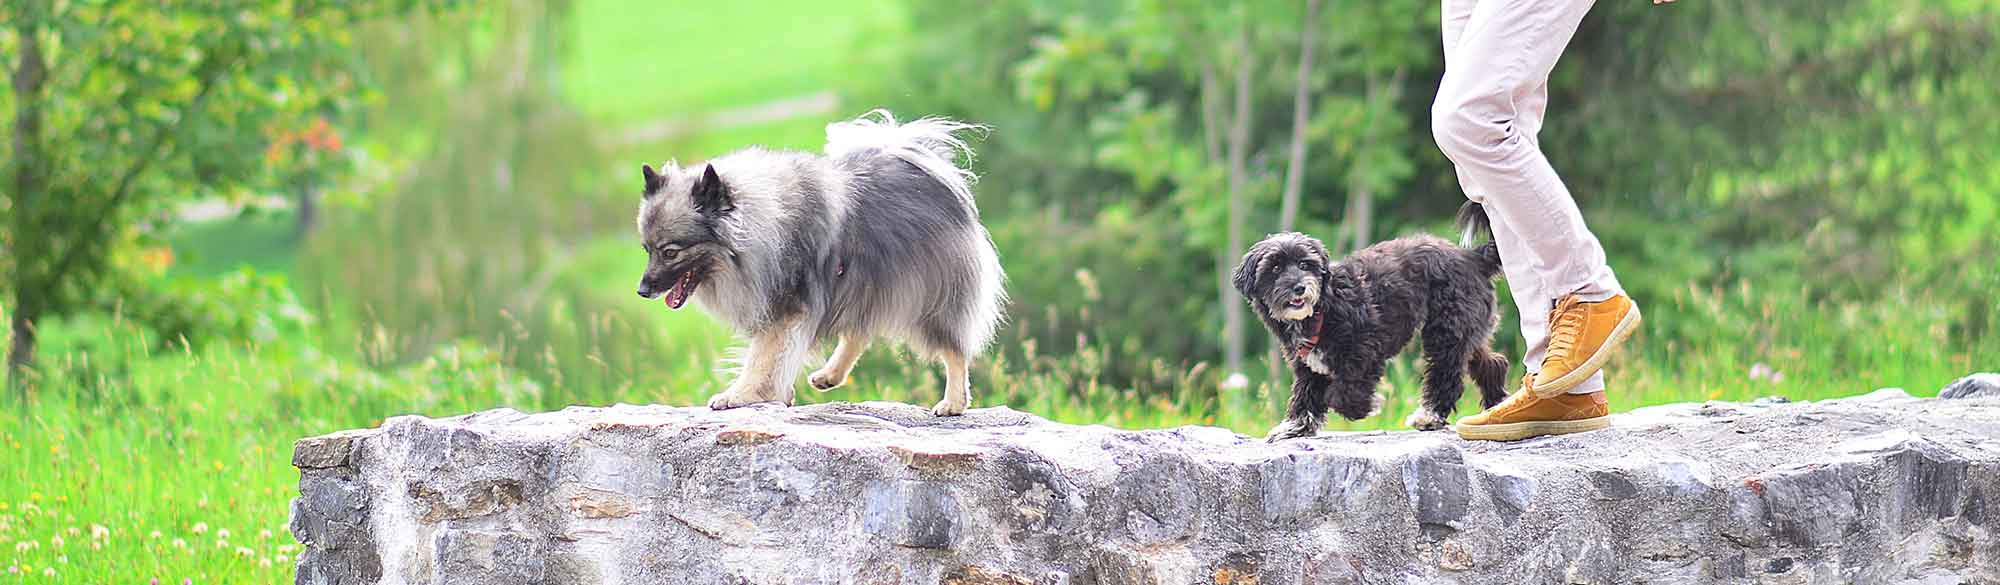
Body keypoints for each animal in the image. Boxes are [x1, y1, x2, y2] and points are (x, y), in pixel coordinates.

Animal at [636, 109, 1008, 416]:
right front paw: (778, 395)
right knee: (859, 332)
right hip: (865, 283)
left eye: (670, 252)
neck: (761, 223)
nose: (642, 290)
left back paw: (954, 402)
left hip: (930, 299)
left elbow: (763, 358)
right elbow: (777, 357)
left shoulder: (785, 307)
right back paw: (830, 375)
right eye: (647, 249)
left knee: (954, 351)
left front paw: (738, 395)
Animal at [1224, 202, 1504, 438]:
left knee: (1446, 373)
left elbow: (1342, 392)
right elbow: (1306, 392)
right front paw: (1296, 426)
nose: (1299, 287)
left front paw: (1361, 407)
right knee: (1492, 362)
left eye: (1305, 264)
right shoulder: (1308, 363)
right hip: (1466, 330)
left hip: (1446, 332)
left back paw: (1429, 415)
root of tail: (1474, 258)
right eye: (1275, 268)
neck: (1324, 304)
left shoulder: (1366, 348)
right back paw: (1494, 408)